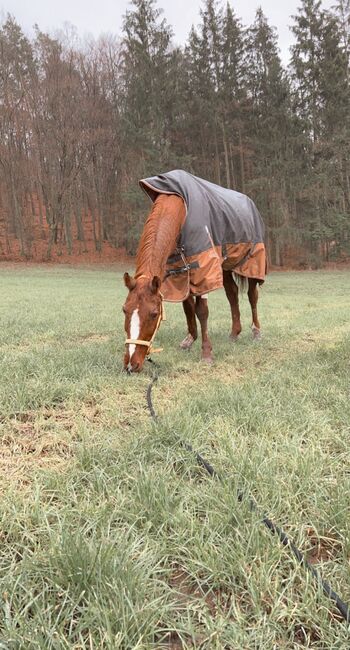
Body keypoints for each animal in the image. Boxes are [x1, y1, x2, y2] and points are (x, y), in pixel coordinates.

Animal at [123, 170, 266, 372]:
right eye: (124, 310)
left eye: (154, 314)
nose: (131, 364)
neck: (180, 205)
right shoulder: (180, 274)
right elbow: (188, 307)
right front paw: (190, 340)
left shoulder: (204, 269)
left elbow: (202, 311)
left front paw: (206, 354)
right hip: (224, 267)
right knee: (232, 294)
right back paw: (234, 333)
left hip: (252, 262)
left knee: (252, 296)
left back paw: (256, 332)